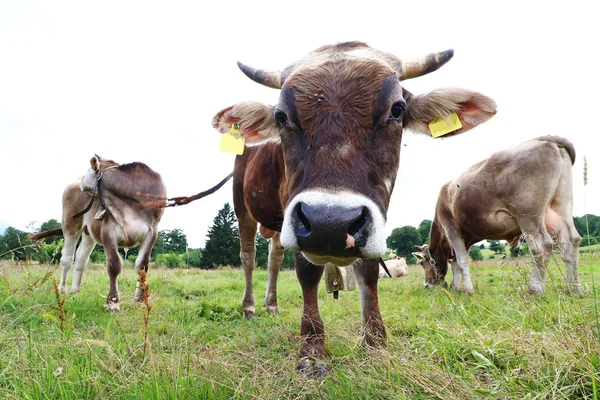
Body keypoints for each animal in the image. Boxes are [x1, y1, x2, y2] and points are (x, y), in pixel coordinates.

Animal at [30, 155, 166, 310]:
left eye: (88, 169)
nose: (81, 179)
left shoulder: (152, 232)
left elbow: (142, 266)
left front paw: (140, 300)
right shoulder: (108, 231)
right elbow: (114, 265)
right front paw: (113, 302)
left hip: (89, 234)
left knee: (81, 259)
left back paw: (75, 291)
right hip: (70, 225)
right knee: (67, 258)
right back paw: (62, 289)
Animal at [213, 41, 494, 372]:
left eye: (397, 109)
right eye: (281, 116)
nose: (330, 223)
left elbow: (369, 271)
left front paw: (375, 343)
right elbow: (307, 273)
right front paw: (312, 348)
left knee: (273, 258)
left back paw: (272, 305)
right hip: (242, 208)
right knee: (247, 256)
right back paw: (250, 307)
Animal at [412, 136, 580, 296]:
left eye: (422, 263)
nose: (427, 285)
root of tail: (541, 139)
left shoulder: (451, 228)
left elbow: (461, 261)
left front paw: (467, 290)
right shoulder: (465, 237)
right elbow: (455, 263)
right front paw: (455, 287)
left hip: (528, 214)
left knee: (542, 245)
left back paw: (535, 289)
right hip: (562, 207)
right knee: (571, 241)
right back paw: (573, 289)